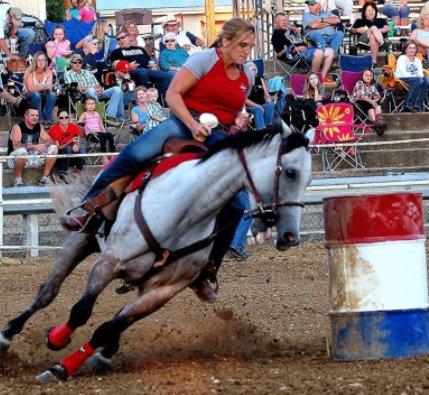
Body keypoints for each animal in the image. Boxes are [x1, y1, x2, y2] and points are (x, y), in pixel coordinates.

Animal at [0, 124, 310, 384]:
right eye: (291, 172)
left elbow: (109, 326)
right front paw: (56, 340)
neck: (186, 210)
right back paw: (7, 335)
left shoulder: (162, 291)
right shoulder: (108, 263)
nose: (290, 237)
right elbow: (81, 311)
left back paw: (103, 353)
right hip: (82, 238)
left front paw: (66, 366)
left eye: (308, 180)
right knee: (47, 292)